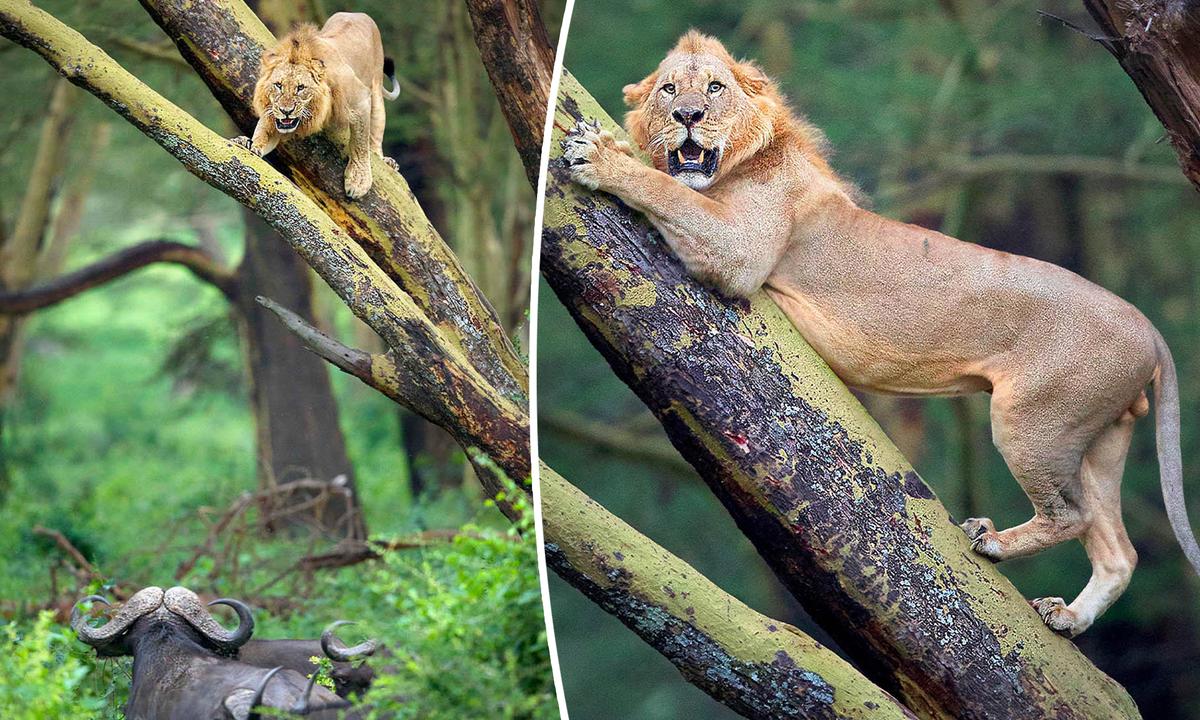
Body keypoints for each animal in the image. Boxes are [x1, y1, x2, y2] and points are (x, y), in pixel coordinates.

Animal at [233, 12, 400, 199]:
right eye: (278, 85)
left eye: (300, 88)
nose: (285, 111)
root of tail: (359, 13)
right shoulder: (273, 115)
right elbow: (263, 134)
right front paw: (250, 144)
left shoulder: (360, 100)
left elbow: (360, 143)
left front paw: (359, 181)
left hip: (377, 89)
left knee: (375, 135)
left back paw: (386, 161)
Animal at [562, 30, 1200, 637]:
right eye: (670, 89)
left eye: (714, 88)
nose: (688, 116)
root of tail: (1149, 328)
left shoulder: (740, 252)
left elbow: (666, 189)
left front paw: (599, 157)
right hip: (1100, 436)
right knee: (1118, 549)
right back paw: (1069, 617)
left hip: (1033, 420)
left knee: (1074, 515)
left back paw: (993, 541)